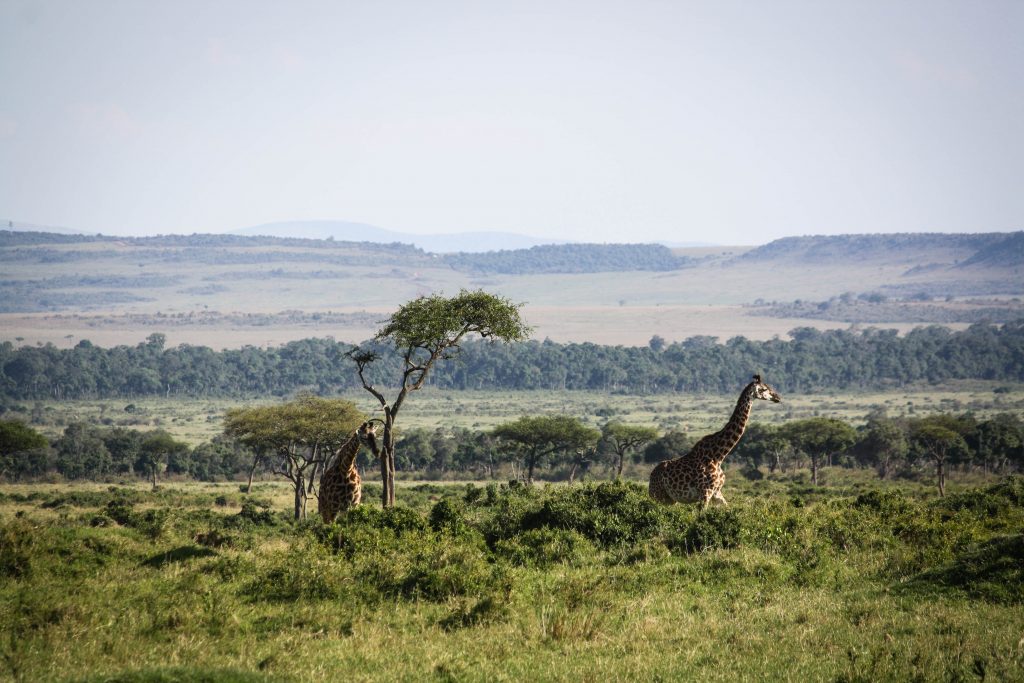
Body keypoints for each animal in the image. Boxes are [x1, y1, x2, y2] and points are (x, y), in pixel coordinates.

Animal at [647, 374, 782, 507]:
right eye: (764, 389)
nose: (778, 397)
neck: (718, 456)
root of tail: (650, 477)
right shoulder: (705, 492)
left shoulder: (717, 493)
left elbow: (728, 508)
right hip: (659, 497)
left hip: (670, 500)